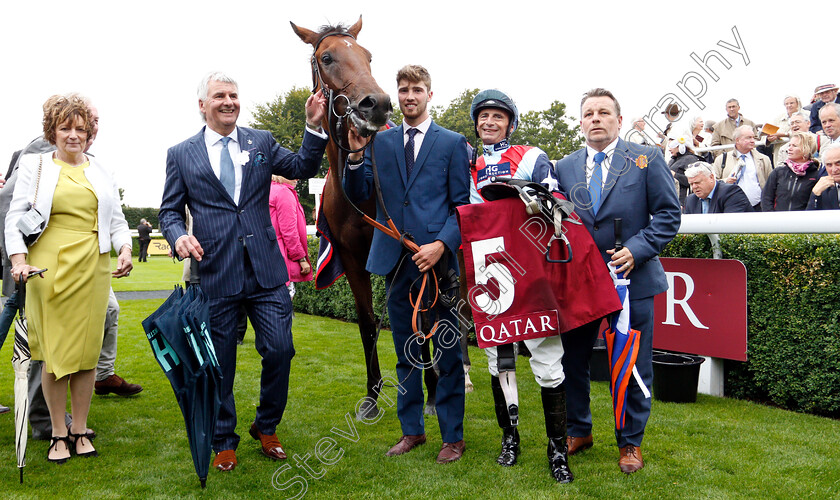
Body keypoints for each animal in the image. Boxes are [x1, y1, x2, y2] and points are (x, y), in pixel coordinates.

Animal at [292, 16, 440, 418]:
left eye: (367, 55)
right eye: (326, 57)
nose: (377, 104)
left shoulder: (404, 254)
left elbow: (417, 317)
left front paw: (430, 394)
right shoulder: (352, 258)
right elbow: (368, 322)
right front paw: (372, 397)